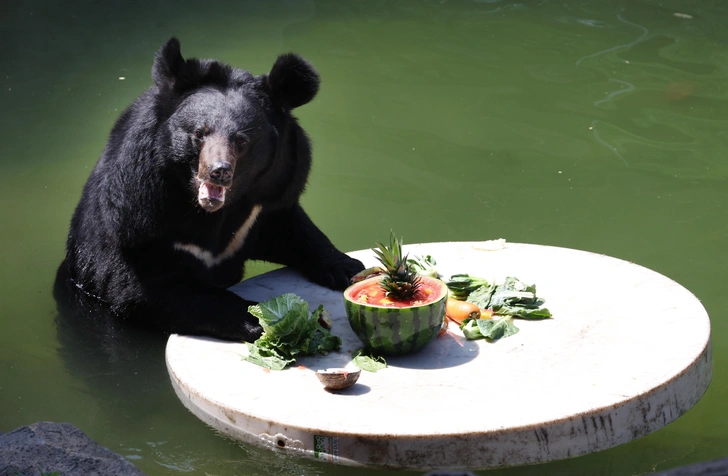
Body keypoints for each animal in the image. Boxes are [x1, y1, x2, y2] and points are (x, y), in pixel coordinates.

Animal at [52, 37, 364, 342]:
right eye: (199, 133)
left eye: (241, 140)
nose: (219, 171)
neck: (210, 211)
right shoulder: (137, 216)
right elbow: (140, 287)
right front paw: (256, 318)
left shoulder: (267, 202)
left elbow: (292, 227)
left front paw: (348, 268)